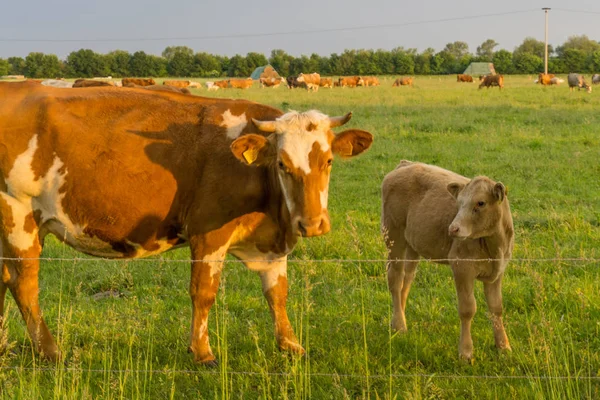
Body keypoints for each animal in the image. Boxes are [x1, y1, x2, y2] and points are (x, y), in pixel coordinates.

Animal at [0, 81, 376, 366]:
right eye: (282, 164)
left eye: (328, 160)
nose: (312, 224)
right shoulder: (208, 232)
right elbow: (204, 292)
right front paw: (202, 352)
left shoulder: (273, 239)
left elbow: (277, 293)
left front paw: (290, 344)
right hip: (19, 214)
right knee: (24, 284)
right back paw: (50, 351)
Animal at [382, 160, 512, 362]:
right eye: (459, 203)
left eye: (481, 203)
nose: (453, 228)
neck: (494, 247)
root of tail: (406, 164)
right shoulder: (461, 267)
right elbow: (467, 309)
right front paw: (465, 352)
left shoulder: (498, 272)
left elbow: (496, 307)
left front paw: (503, 346)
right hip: (393, 236)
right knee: (395, 279)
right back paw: (400, 326)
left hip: (412, 245)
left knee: (406, 280)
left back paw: (398, 319)